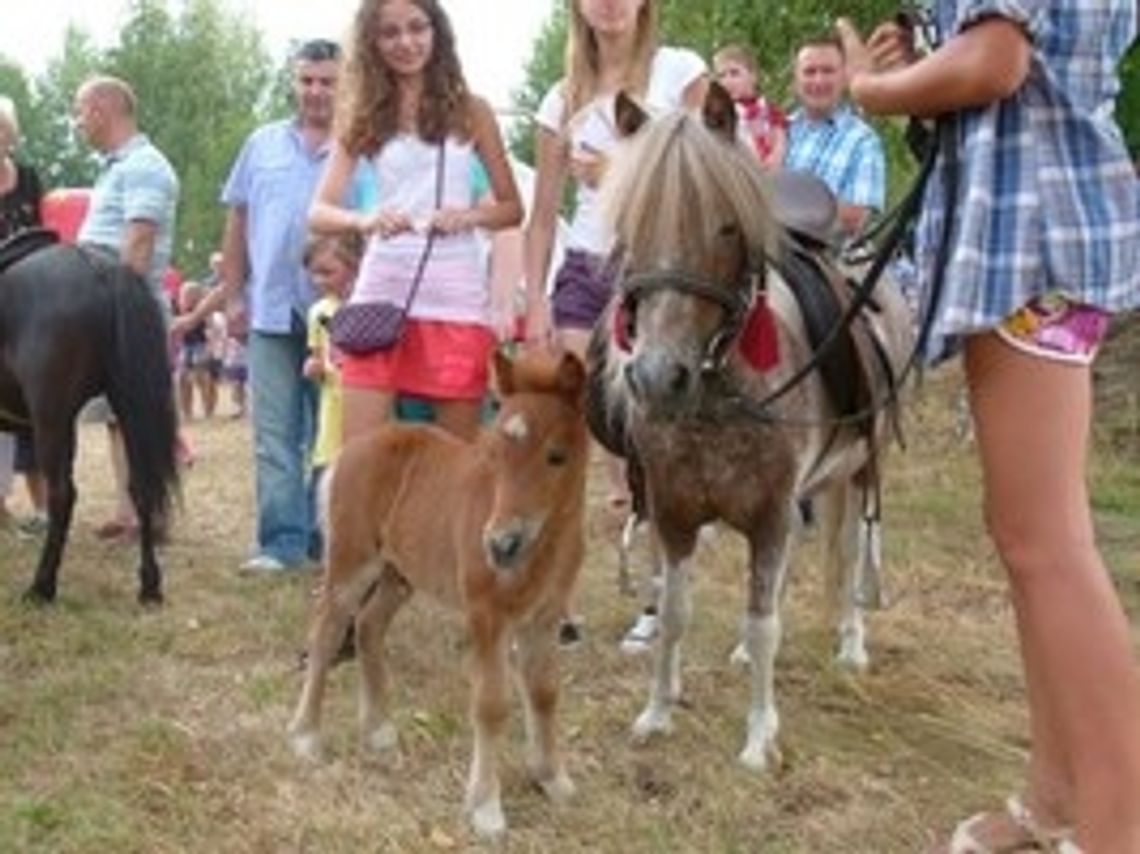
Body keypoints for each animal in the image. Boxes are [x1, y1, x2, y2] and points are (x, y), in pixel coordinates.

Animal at [0, 230, 177, 602]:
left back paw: (42, 587)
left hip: (51, 417)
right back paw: (149, 585)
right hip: (123, 408)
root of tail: (99, 268)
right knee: (141, 487)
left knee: (62, 494)